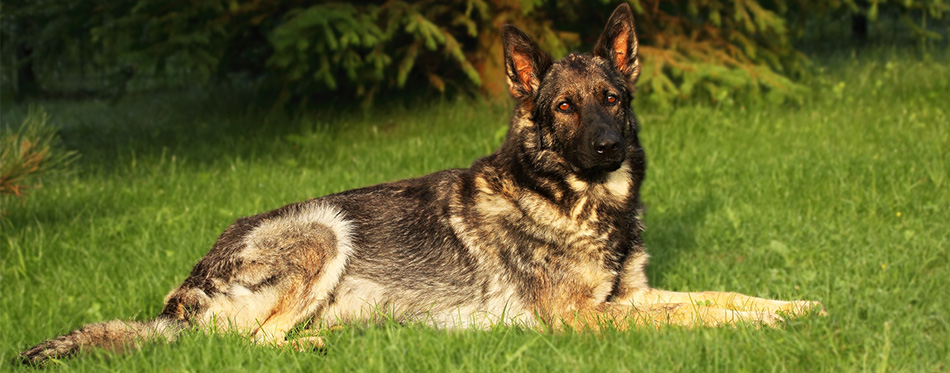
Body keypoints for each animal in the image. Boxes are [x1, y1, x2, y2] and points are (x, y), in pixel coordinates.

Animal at [16, 2, 824, 364]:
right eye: (564, 107)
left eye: (612, 99)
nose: (608, 144)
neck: (578, 199)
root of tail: (183, 290)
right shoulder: (585, 320)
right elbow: (697, 318)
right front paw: (762, 327)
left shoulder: (630, 297)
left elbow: (723, 295)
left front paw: (795, 307)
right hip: (322, 226)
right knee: (246, 344)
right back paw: (317, 348)